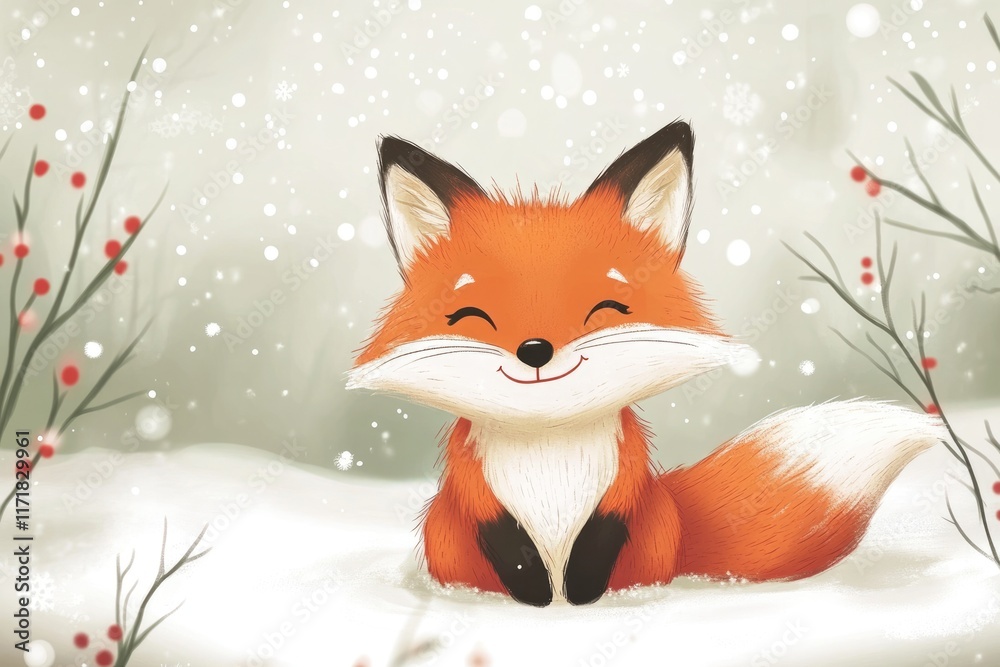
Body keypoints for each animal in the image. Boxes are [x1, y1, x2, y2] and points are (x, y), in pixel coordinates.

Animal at [347, 120, 946, 606]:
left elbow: (606, 527)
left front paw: (580, 594)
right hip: (441, 531)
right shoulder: (470, 478)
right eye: (471, 315)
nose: (535, 350)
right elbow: (503, 536)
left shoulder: (627, 472)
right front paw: (537, 596)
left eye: (605, 308)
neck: (549, 440)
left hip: (653, 527)